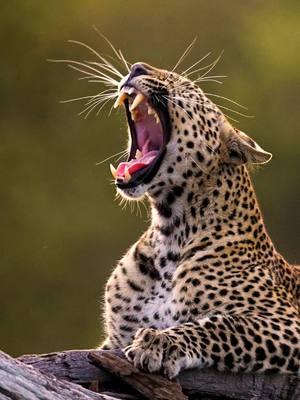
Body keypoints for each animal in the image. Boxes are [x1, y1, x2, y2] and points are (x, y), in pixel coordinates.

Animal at [99, 61, 298, 376]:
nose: (137, 67)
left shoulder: (284, 320)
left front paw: (159, 342)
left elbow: (223, 325)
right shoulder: (113, 339)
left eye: (185, 85)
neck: (170, 232)